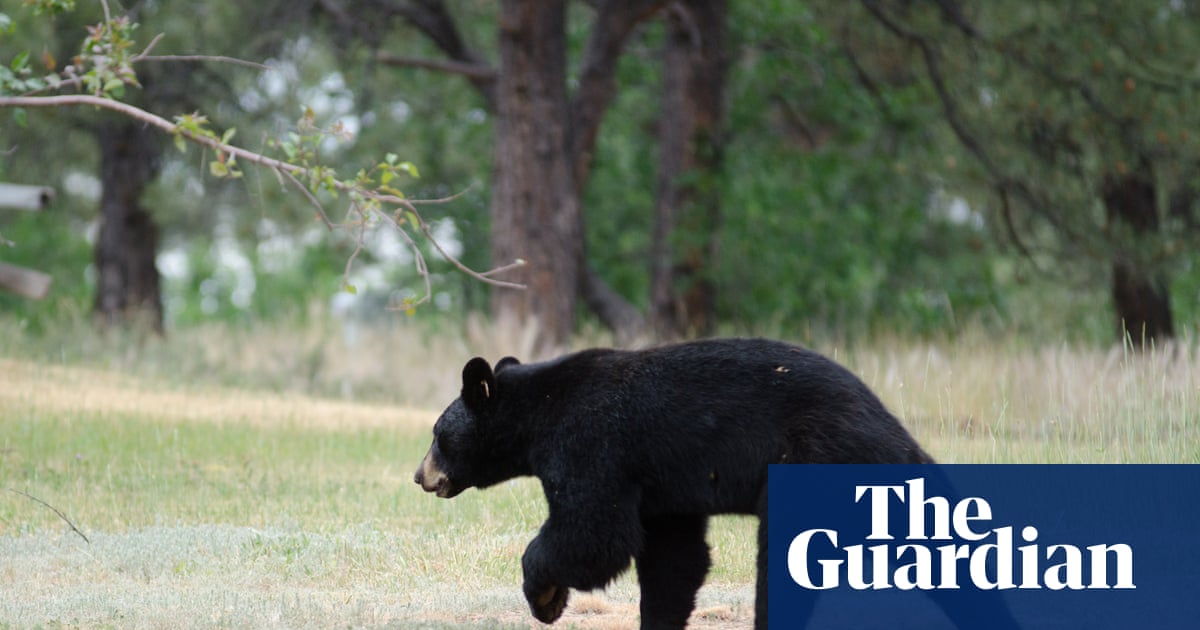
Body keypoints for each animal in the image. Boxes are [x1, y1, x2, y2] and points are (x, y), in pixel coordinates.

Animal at [413, 337, 933, 630]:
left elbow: (594, 533)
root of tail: (893, 430)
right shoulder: (663, 487)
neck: (538, 412)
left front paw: (544, 597)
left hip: (814, 457)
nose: (421, 476)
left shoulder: (593, 444)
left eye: (438, 435)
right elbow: (673, 559)